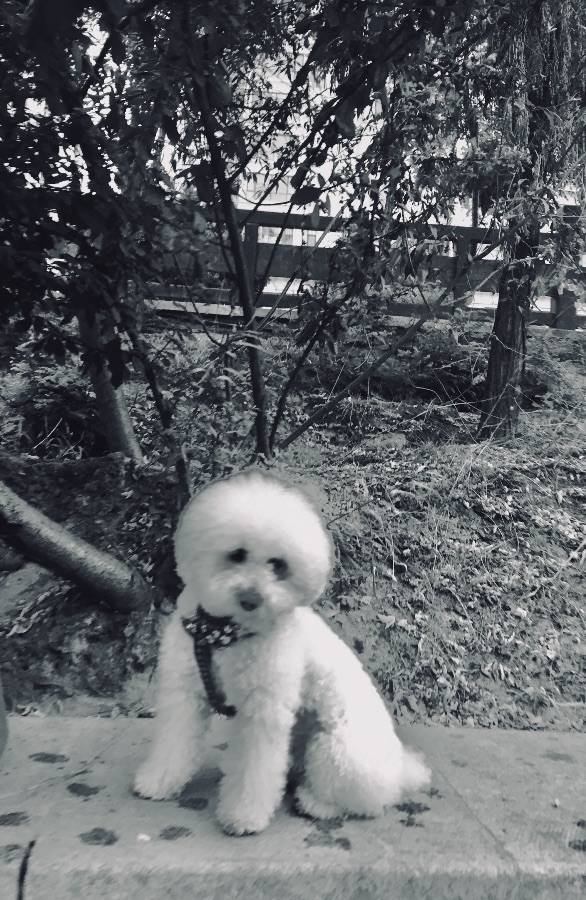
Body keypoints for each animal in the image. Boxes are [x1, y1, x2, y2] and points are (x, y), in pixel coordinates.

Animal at [134, 471, 430, 835]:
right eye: (237, 554)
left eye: (278, 565)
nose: (251, 598)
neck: (223, 633)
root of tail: (400, 772)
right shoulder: (184, 691)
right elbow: (175, 741)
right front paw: (157, 782)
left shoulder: (264, 707)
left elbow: (255, 768)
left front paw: (244, 815)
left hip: (336, 749)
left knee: (361, 802)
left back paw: (314, 802)